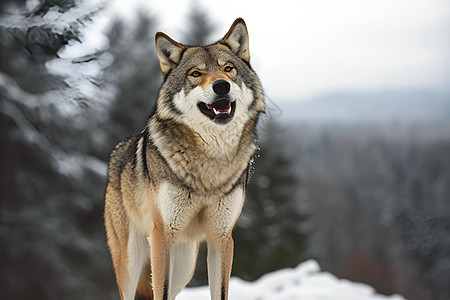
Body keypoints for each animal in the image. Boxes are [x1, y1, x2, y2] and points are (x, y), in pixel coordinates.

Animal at [103, 18, 266, 300]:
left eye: (228, 69)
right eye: (196, 74)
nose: (221, 85)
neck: (211, 163)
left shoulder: (222, 238)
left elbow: (220, 292)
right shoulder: (162, 235)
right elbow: (162, 294)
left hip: (184, 266)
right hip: (132, 263)